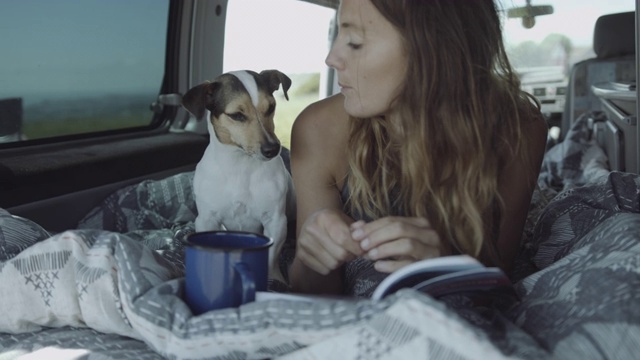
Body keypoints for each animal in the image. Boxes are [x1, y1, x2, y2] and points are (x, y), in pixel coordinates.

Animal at [181, 70, 296, 282]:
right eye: (236, 115)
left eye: (271, 107)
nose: (273, 149)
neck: (240, 166)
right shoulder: (206, 220)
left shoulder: (276, 222)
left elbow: (271, 258)